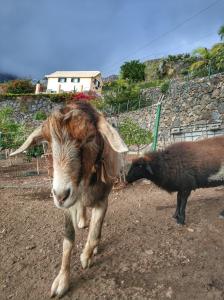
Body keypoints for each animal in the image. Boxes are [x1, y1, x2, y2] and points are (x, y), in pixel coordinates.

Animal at [10, 102, 128, 298]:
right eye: (47, 142)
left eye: (90, 137)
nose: (59, 195)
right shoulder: (67, 206)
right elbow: (68, 239)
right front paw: (62, 281)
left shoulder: (103, 200)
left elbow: (95, 233)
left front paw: (86, 257)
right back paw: (81, 220)